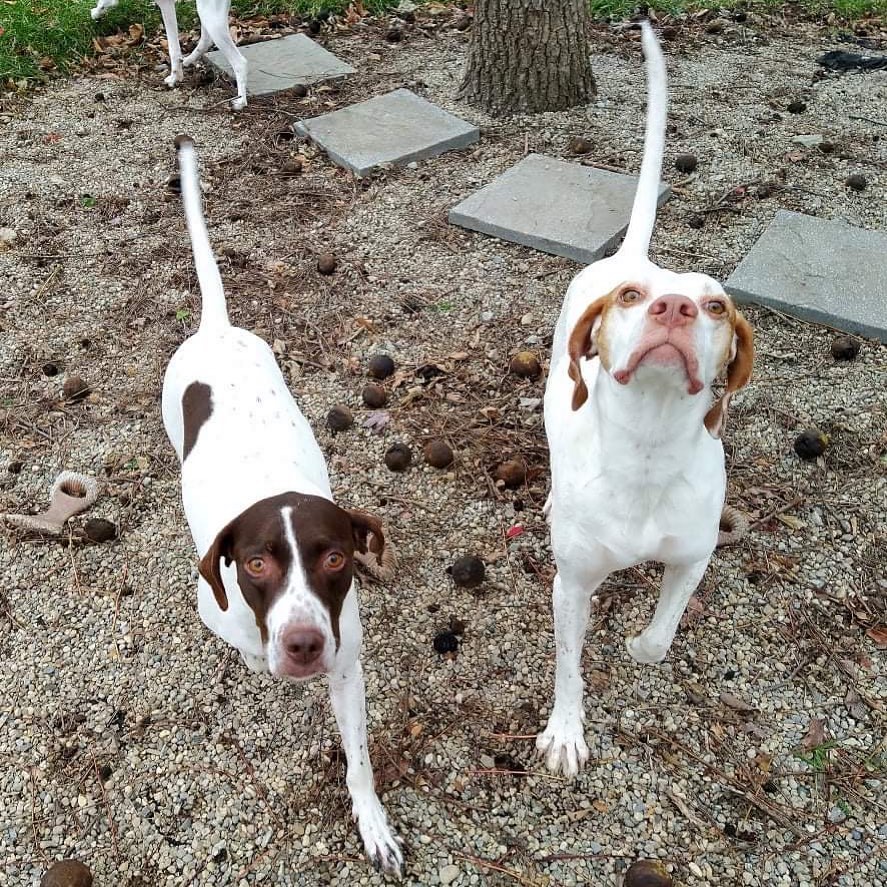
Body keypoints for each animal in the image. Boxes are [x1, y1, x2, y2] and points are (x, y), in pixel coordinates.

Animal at [90, 0, 248, 111]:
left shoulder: (166, 5)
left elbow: (173, 47)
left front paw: (175, 76)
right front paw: (98, 11)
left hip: (210, 15)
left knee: (239, 61)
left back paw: (240, 101)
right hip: (209, 13)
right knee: (206, 39)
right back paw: (187, 60)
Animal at [162, 139, 402, 876]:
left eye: (335, 557)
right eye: (257, 564)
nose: (301, 645)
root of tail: (215, 328)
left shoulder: (348, 662)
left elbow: (359, 760)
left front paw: (373, 823)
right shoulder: (218, 605)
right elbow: (240, 639)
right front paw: (255, 657)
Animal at [536, 22, 756, 776]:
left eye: (716, 305)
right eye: (632, 302)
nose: (673, 307)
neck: (648, 447)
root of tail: (634, 254)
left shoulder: (691, 556)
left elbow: (661, 636)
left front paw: (639, 645)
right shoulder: (571, 583)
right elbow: (568, 667)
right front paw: (566, 732)